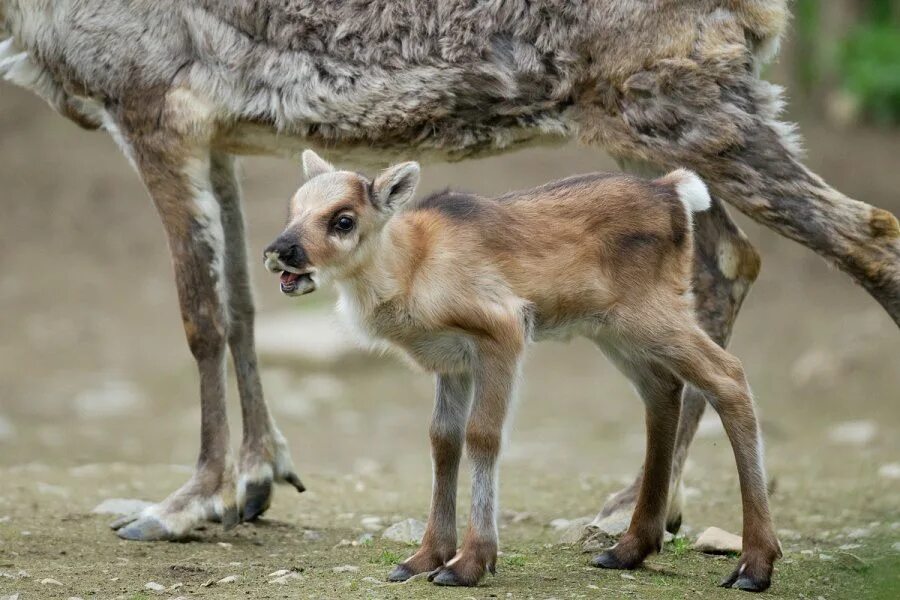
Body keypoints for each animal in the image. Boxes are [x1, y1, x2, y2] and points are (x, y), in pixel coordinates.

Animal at [262, 150, 780, 592]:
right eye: (293, 208)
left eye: (343, 219)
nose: (279, 250)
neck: (411, 269)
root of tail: (673, 190)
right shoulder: (452, 361)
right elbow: (443, 440)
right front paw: (424, 558)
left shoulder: (503, 332)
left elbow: (483, 436)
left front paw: (470, 563)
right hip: (615, 331)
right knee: (663, 390)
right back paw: (627, 548)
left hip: (653, 316)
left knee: (728, 376)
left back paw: (754, 565)